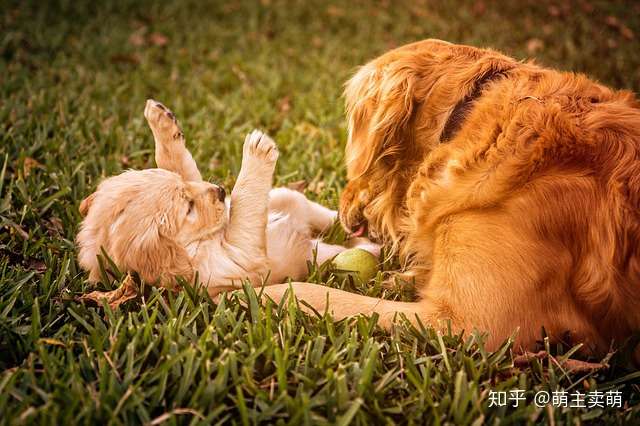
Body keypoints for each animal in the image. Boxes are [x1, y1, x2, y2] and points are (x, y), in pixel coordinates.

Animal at [75, 101, 378, 296]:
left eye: (186, 191)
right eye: (188, 208)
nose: (221, 190)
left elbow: (180, 164)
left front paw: (162, 123)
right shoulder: (237, 262)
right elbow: (243, 213)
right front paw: (256, 151)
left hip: (287, 197)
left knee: (327, 217)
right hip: (317, 253)